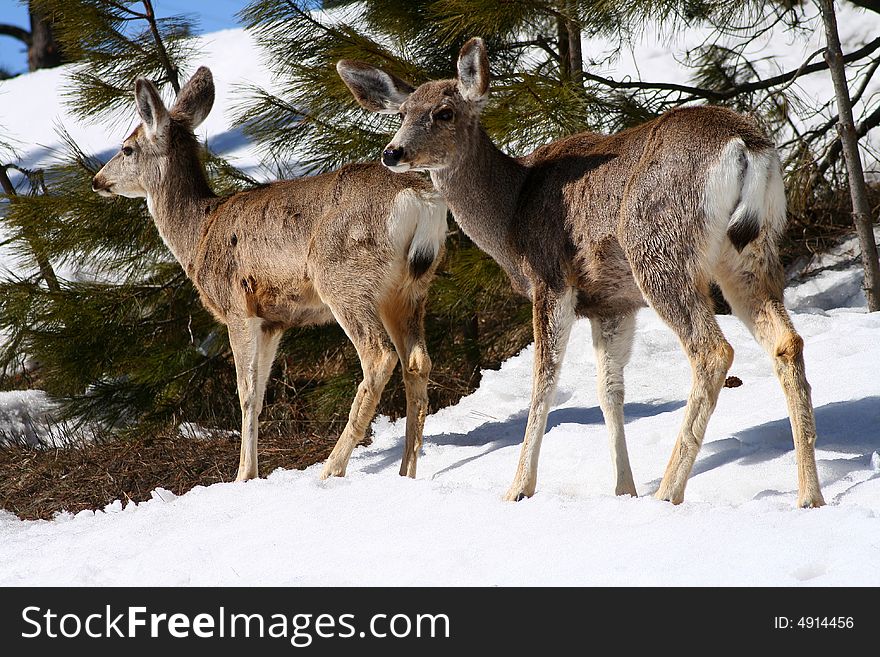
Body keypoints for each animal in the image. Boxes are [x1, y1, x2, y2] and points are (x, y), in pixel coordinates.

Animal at [92, 68, 446, 482]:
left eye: (127, 148)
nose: (98, 180)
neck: (198, 232)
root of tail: (420, 199)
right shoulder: (273, 319)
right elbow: (260, 393)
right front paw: (252, 471)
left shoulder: (236, 307)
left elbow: (245, 393)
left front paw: (243, 474)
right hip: (409, 288)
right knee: (417, 361)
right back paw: (406, 472)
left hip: (343, 277)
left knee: (379, 356)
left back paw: (330, 469)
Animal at [336, 37, 824, 508]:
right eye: (402, 113)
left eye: (444, 112)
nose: (392, 152)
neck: (511, 214)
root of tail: (745, 145)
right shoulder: (612, 304)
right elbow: (609, 391)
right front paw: (623, 489)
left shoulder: (551, 279)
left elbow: (544, 382)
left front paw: (519, 488)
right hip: (749, 253)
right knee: (787, 341)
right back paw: (809, 495)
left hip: (659, 248)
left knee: (712, 351)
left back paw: (668, 491)